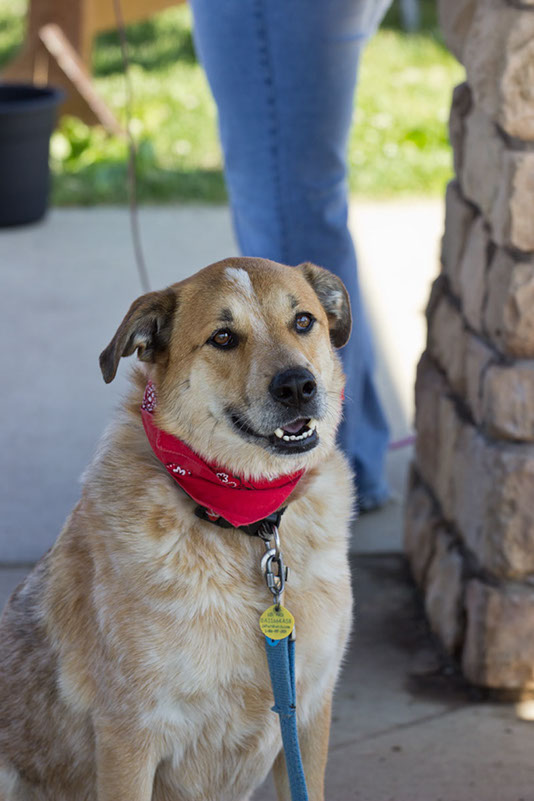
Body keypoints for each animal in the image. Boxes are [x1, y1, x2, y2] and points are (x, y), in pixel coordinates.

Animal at [0, 258, 356, 800]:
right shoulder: (129, 736)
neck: (243, 524)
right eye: (223, 337)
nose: (298, 386)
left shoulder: (311, 709)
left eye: (303, 322)